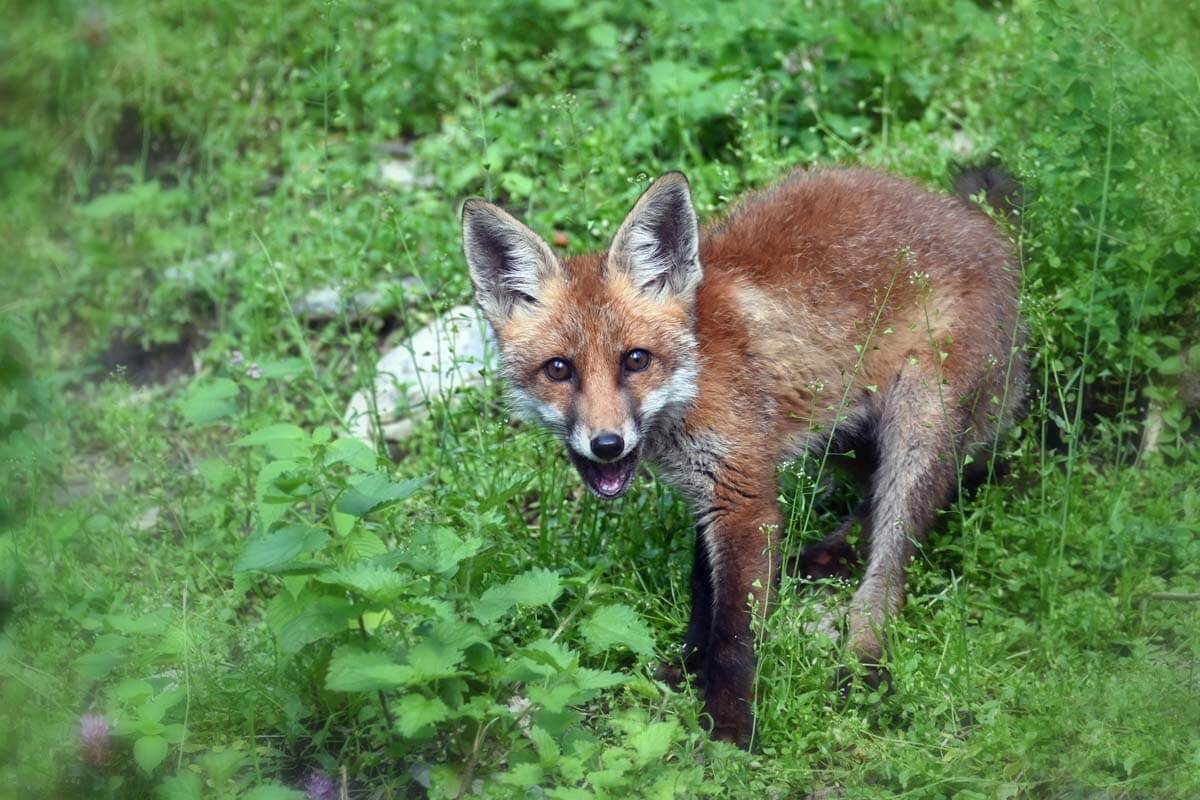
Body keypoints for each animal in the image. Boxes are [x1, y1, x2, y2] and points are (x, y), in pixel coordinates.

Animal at [460, 165, 1026, 747]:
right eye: (558, 369)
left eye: (636, 360)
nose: (607, 444)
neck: (695, 377)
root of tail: (980, 222)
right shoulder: (710, 489)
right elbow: (703, 595)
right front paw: (689, 668)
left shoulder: (743, 495)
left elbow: (734, 628)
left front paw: (730, 728)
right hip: (842, 428)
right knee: (882, 498)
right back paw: (821, 560)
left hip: (917, 422)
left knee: (892, 568)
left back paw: (865, 662)